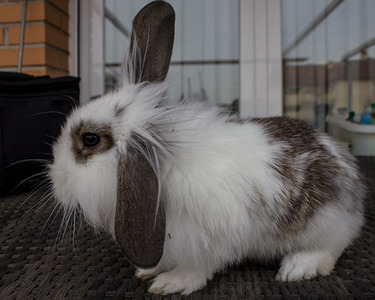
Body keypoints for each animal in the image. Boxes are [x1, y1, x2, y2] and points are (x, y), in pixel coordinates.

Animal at [48, 0, 366, 296]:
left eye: (90, 140)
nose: (55, 179)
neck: (161, 166)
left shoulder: (205, 242)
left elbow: (195, 269)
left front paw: (170, 283)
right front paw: (148, 270)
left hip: (324, 222)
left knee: (330, 250)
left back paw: (297, 267)